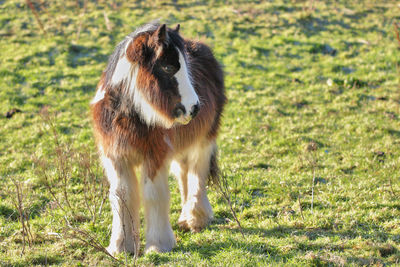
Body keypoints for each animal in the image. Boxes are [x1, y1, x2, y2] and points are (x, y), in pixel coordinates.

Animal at [92, 22, 227, 256]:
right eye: (167, 68)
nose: (194, 108)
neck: (129, 115)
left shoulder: (154, 156)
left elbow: (153, 196)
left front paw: (158, 245)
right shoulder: (117, 158)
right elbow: (122, 196)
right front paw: (120, 247)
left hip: (203, 142)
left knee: (197, 174)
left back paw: (197, 218)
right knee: (183, 173)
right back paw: (185, 219)